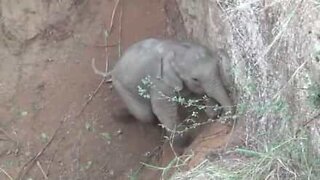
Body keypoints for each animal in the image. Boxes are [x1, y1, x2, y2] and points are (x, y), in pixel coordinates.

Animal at [99, 38, 232, 147]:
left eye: (217, 65)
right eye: (195, 79)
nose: (225, 119)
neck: (173, 50)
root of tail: (112, 70)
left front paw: (212, 112)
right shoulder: (159, 82)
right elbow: (163, 109)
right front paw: (183, 141)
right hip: (122, 88)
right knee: (144, 114)